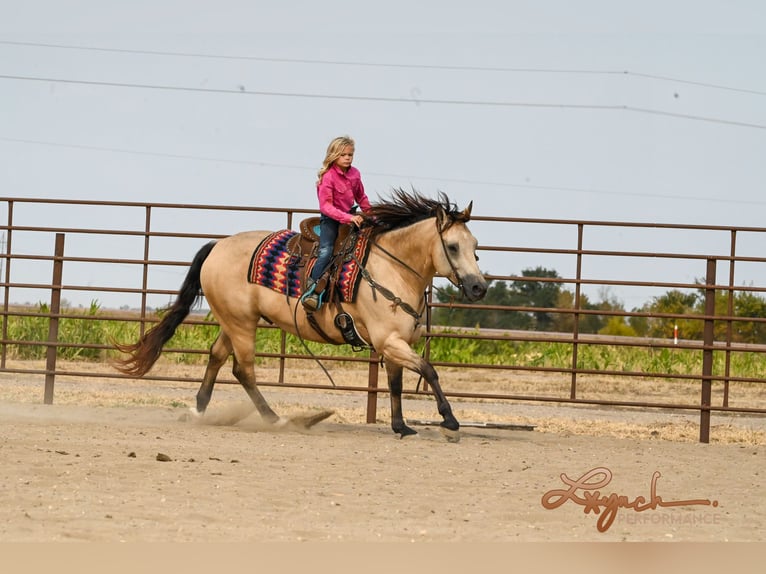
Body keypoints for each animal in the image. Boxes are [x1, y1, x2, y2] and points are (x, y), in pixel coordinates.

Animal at [114, 191, 486, 444]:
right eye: (453, 247)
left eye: (476, 246)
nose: (479, 287)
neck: (391, 269)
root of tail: (217, 246)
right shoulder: (389, 341)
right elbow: (429, 370)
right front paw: (449, 421)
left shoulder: (395, 343)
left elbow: (395, 384)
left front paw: (401, 426)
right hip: (241, 324)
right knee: (243, 370)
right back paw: (277, 420)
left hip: (233, 321)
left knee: (217, 357)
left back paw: (199, 411)